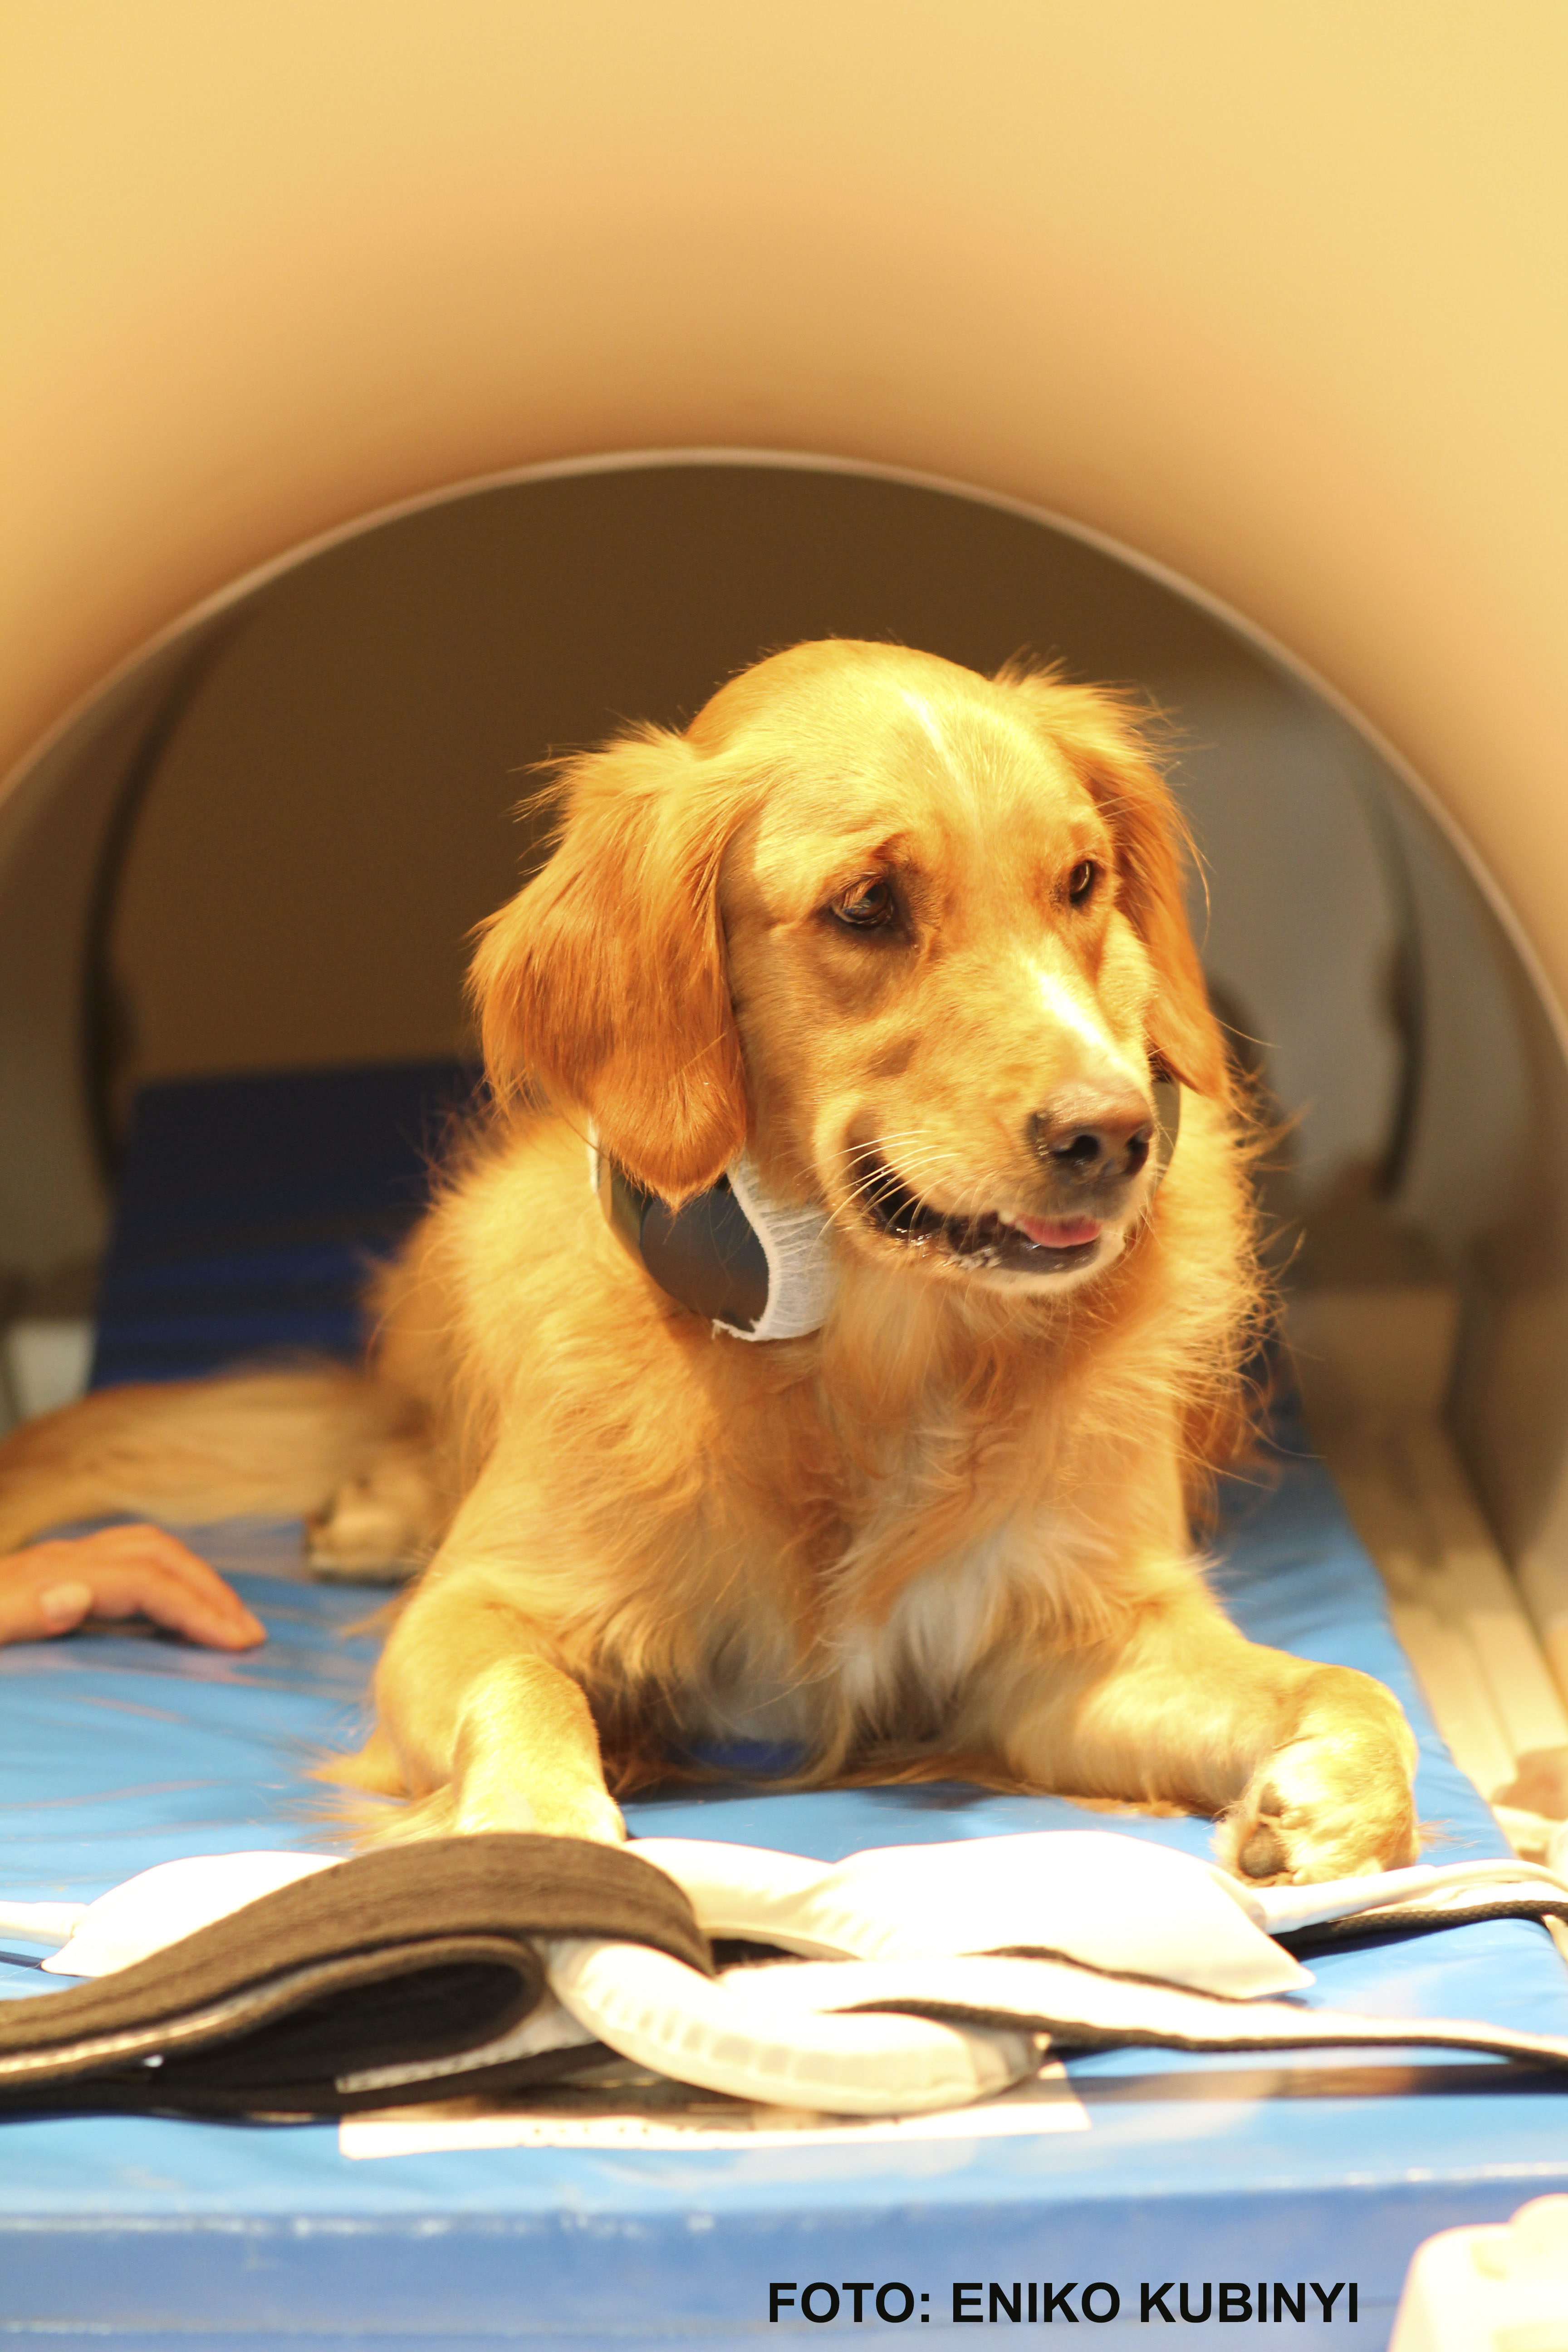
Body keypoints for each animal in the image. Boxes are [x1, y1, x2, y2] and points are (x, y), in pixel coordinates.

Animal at [0, 635, 1420, 1882]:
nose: (1114, 1133)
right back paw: (383, 1503)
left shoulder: (1069, 1649)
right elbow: (519, 1682)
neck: (870, 1361)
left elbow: (1347, 1682)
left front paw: (1342, 1799)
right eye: (868, 905)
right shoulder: (472, 1609)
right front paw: (538, 1829)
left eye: (1080, 882)